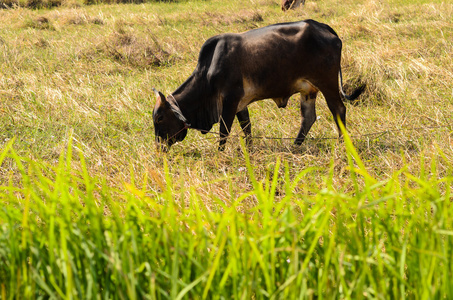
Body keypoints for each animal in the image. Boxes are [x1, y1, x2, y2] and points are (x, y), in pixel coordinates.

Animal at [154, 19, 366, 150]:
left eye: (160, 118)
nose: (158, 147)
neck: (207, 72)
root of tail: (320, 25)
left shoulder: (230, 100)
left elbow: (224, 131)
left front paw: (219, 154)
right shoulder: (240, 103)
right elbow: (246, 128)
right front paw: (249, 150)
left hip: (327, 83)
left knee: (338, 110)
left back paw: (342, 143)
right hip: (308, 90)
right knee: (309, 117)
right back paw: (295, 146)